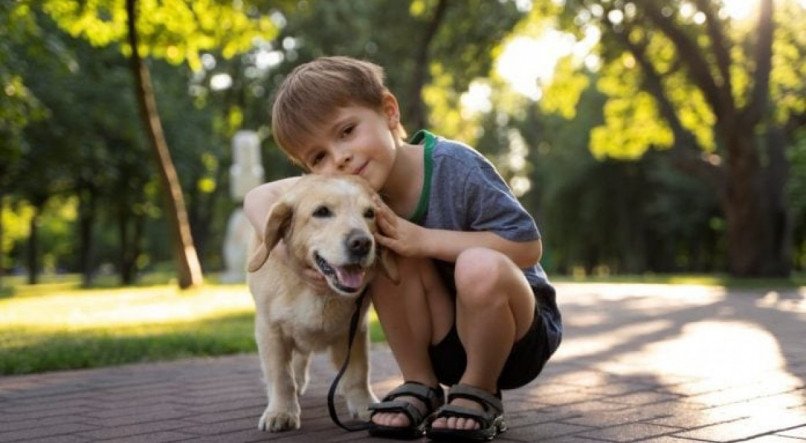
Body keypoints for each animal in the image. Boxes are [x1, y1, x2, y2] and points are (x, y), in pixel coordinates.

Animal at [246, 175, 398, 432]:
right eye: (322, 212)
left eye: (369, 213)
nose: (362, 243)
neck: (318, 292)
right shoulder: (270, 330)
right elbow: (281, 376)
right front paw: (281, 411)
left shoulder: (355, 330)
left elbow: (358, 374)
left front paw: (363, 405)